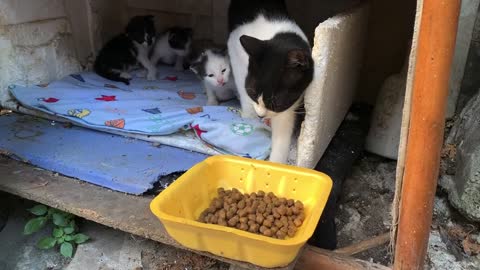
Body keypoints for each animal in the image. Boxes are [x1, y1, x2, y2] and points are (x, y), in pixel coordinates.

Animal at [228, 0, 316, 163]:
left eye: (277, 103)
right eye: (252, 93)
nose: (261, 115)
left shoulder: (288, 105)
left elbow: (283, 125)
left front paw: (276, 164)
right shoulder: (234, 47)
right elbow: (241, 83)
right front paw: (249, 117)